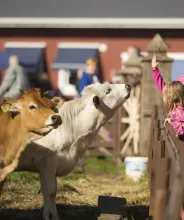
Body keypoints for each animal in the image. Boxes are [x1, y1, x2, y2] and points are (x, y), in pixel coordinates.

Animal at [14, 83, 131, 220]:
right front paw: (48, 216)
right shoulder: (48, 163)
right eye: (108, 90)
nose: (128, 85)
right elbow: (49, 191)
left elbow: (52, 192)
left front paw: (54, 216)